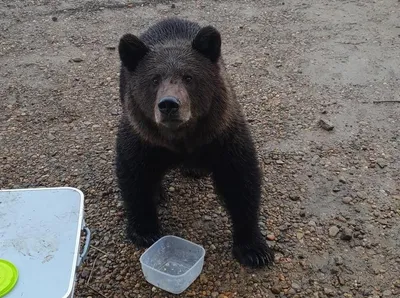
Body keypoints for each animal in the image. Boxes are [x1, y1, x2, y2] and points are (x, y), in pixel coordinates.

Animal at [114, 17, 274, 268]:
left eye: (189, 77)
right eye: (154, 79)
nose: (169, 104)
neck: (181, 136)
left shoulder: (221, 135)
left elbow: (240, 181)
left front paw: (254, 248)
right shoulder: (144, 138)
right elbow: (134, 175)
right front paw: (144, 230)